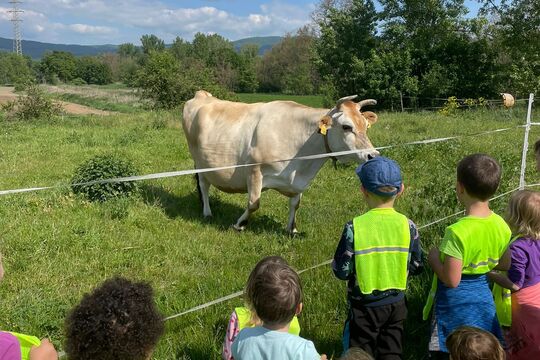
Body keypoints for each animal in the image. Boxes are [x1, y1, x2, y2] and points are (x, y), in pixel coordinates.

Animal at [181, 90, 380, 233]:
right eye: (346, 127)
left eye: (366, 126)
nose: (373, 155)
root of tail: (202, 94)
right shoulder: (254, 170)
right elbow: (253, 203)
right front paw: (239, 224)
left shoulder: (299, 181)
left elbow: (295, 204)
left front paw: (292, 229)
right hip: (199, 161)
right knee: (204, 186)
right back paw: (207, 212)